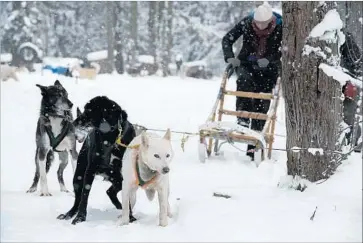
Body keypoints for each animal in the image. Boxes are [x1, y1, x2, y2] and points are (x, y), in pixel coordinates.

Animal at [57, 96, 136, 225]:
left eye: (88, 110)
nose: (73, 123)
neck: (110, 138)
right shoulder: (90, 169)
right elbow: (84, 196)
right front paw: (80, 217)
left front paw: (130, 217)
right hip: (78, 177)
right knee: (78, 199)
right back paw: (69, 214)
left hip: (117, 179)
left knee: (111, 191)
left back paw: (119, 206)